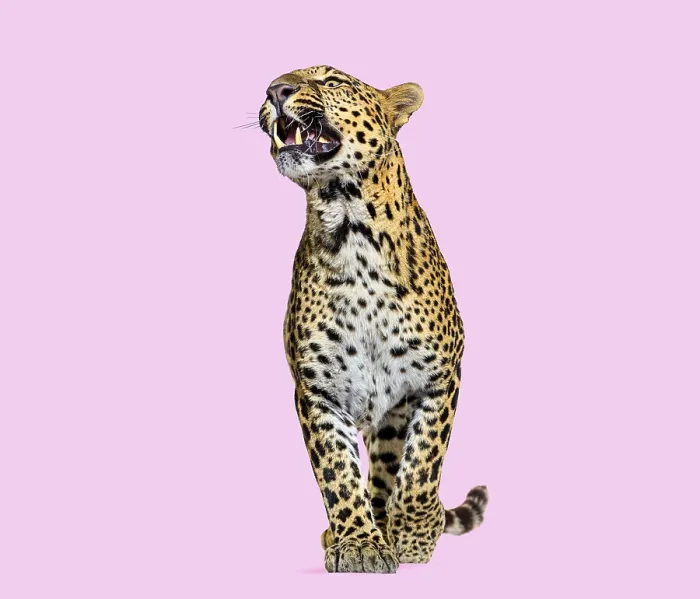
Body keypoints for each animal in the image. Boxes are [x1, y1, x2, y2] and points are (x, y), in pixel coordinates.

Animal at [258, 65, 488, 573]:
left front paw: (415, 536)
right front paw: (359, 544)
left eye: (332, 80)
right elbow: (338, 472)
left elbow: (423, 463)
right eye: (277, 84)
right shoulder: (318, 390)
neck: (350, 228)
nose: (276, 90)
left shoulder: (440, 377)